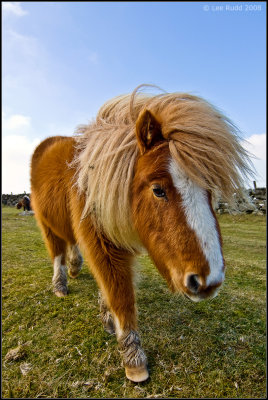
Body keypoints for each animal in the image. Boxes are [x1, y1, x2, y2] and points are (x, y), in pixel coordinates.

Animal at [30, 86, 252, 382]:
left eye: (209, 191)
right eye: (158, 190)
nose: (209, 281)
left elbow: (108, 288)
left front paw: (107, 318)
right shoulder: (103, 244)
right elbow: (121, 295)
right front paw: (134, 359)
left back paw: (75, 268)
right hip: (46, 223)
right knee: (57, 253)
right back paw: (60, 285)